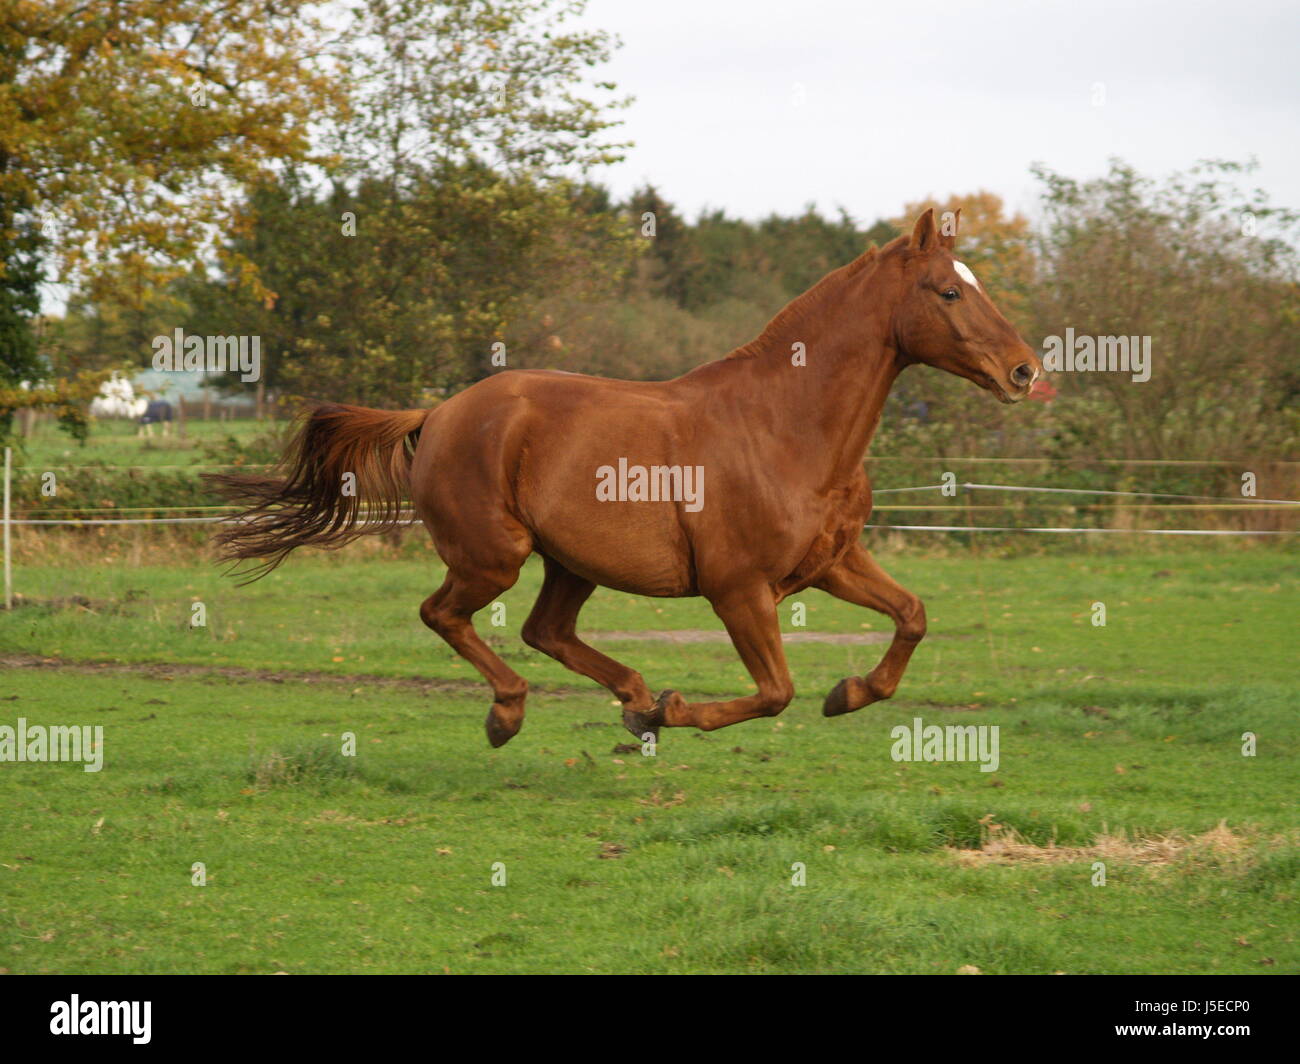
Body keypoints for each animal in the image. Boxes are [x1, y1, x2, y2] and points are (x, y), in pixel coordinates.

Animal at [213, 209, 1045, 744]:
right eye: (948, 291)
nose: (1025, 370)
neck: (784, 427)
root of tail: (440, 411)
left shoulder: (833, 562)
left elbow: (912, 615)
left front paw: (849, 695)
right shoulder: (740, 590)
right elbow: (775, 691)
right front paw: (677, 712)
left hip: (570, 562)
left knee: (546, 630)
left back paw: (632, 699)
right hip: (494, 557)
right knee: (444, 615)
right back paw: (513, 713)